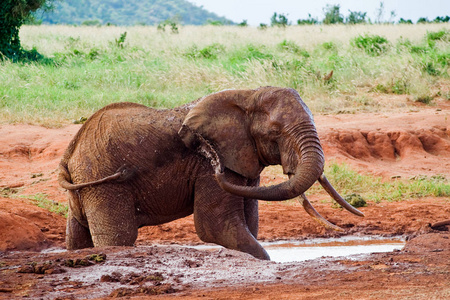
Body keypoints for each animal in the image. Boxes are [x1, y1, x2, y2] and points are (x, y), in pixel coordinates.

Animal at [59, 86, 362, 260]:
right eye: (275, 132)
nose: (206, 151)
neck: (246, 94)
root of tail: (70, 151)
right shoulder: (209, 167)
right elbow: (215, 227)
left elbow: (248, 223)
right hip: (102, 180)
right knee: (119, 238)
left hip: (87, 182)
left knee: (78, 237)